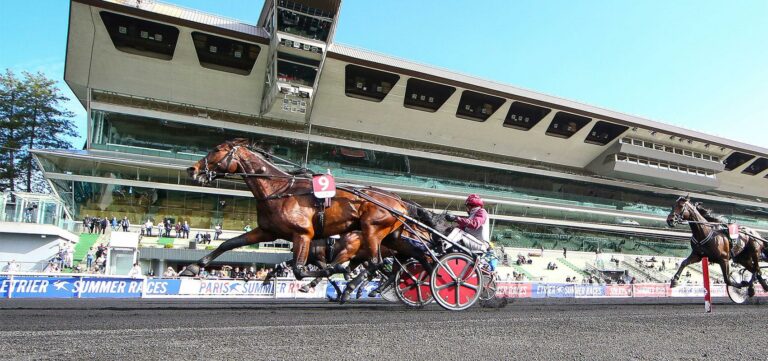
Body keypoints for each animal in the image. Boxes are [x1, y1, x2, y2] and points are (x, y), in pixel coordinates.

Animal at [184, 139, 426, 280]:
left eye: (217, 150)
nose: (192, 170)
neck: (279, 189)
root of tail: (399, 201)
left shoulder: (303, 234)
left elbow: (300, 270)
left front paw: (333, 270)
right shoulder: (267, 231)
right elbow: (229, 243)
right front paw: (194, 267)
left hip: (372, 229)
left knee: (377, 262)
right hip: (392, 236)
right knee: (415, 255)